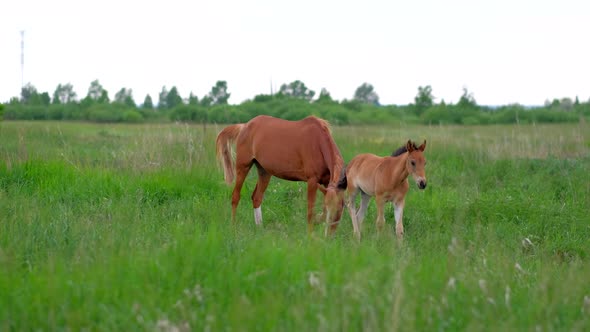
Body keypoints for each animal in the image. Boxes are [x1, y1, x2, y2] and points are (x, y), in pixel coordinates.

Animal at [216, 115, 346, 235]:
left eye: (340, 211)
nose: (329, 236)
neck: (318, 143)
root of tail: (244, 126)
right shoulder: (312, 181)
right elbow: (310, 211)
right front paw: (310, 236)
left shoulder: (327, 183)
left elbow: (322, 209)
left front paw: (318, 220)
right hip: (243, 167)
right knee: (235, 196)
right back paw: (233, 227)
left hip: (264, 172)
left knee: (257, 197)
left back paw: (260, 229)